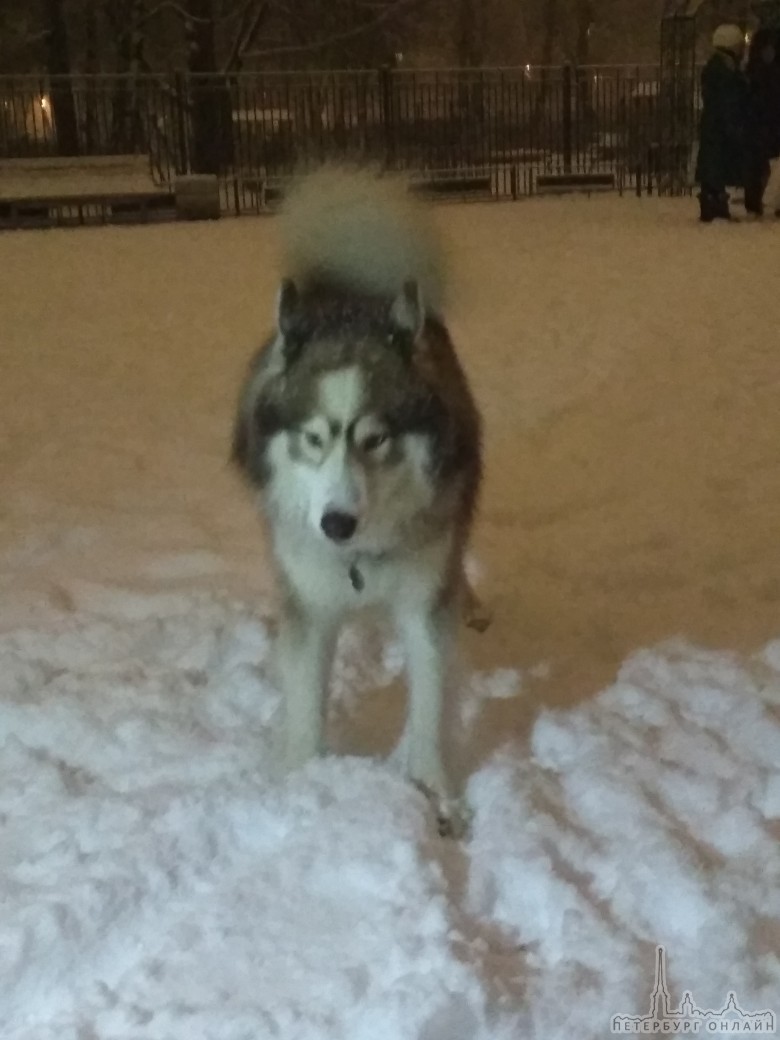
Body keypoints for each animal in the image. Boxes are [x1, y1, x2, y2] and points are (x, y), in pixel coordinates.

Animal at [230, 168, 482, 827]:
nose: (336, 524)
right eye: (314, 438)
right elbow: (306, 702)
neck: (359, 561)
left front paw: (433, 788)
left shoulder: (424, 600)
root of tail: (352, 294)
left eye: (376, 439)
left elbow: (430, 701)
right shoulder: (310, 602)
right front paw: (300, 779)